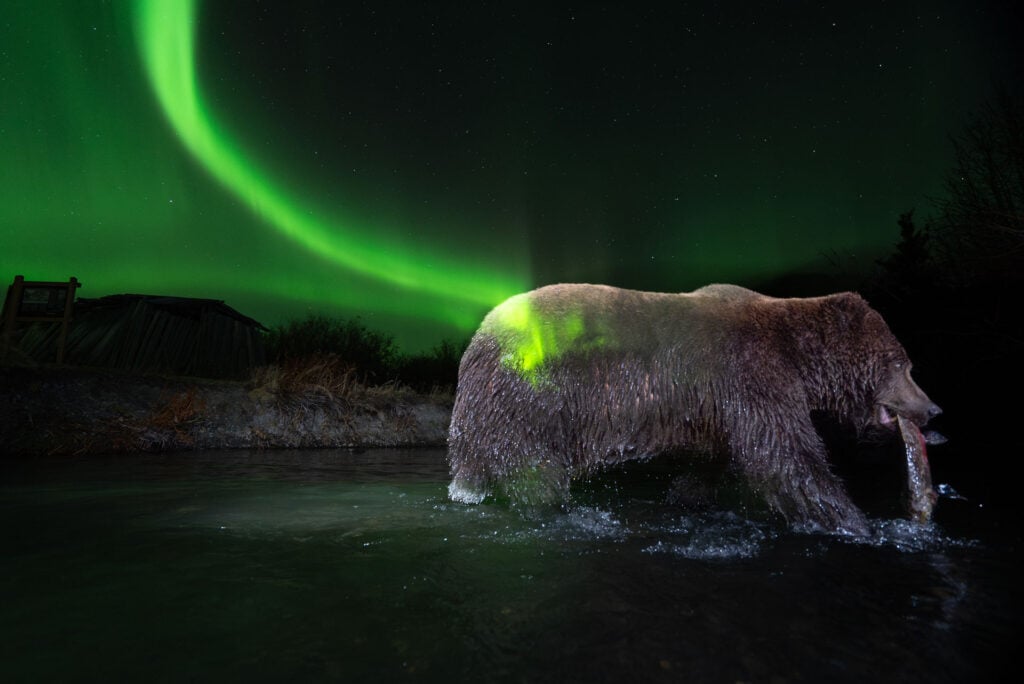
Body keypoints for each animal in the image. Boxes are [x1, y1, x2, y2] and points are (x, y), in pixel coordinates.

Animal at [446, 283, 942, 535]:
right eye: (903, 363)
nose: (932, 408)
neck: (798, 355)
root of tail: (472, 348)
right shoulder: (750, 370)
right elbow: (785, 457)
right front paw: (859, 522)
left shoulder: (717, 403)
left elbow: (715, 458)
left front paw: (688, 494)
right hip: (529, 399)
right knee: (537, 473)